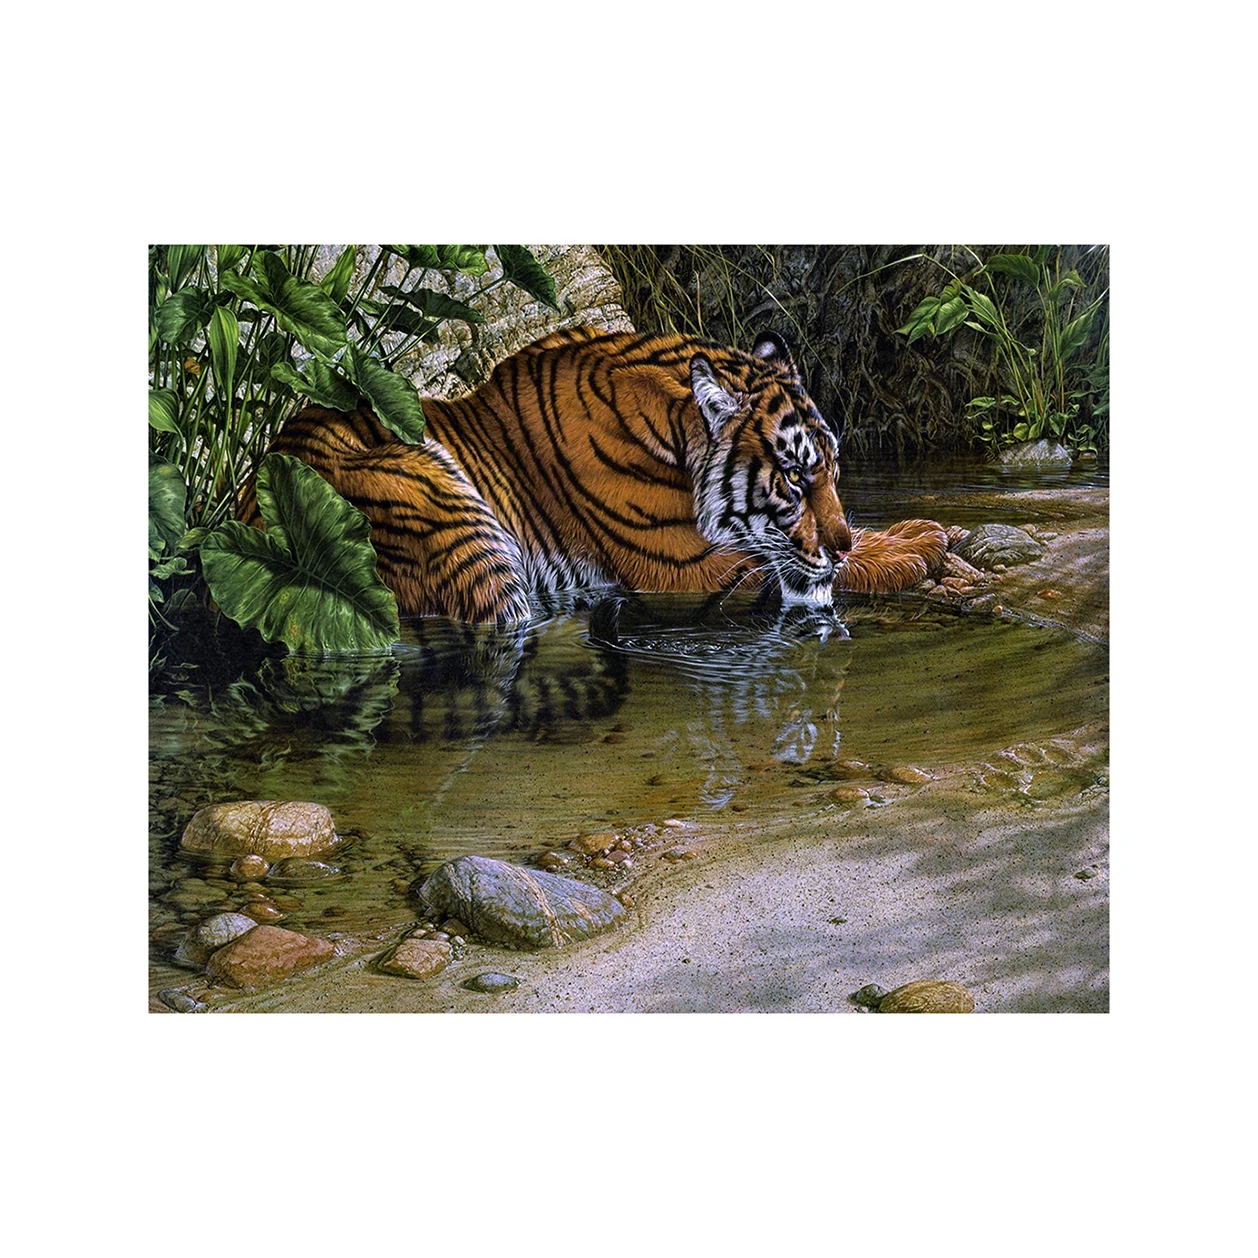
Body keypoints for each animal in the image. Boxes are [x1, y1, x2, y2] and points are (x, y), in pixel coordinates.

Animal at [241, 326, 947, 623]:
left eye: (834, 473)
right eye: (797, 478)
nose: (840, 543)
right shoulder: (689, 569)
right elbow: (810, 570)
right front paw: (918, 543)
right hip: (447, 515)